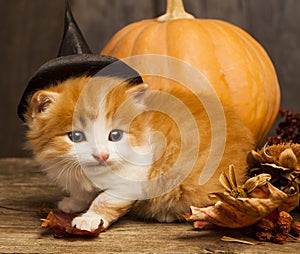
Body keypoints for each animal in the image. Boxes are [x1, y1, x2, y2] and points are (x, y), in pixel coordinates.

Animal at [24, 74, 253, 231]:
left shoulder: (134, 177)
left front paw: (89, 218)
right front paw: (74, 202)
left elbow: (106, 199)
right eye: (76, 136)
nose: (102, 155)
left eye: (115, 135)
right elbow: (83, 191)